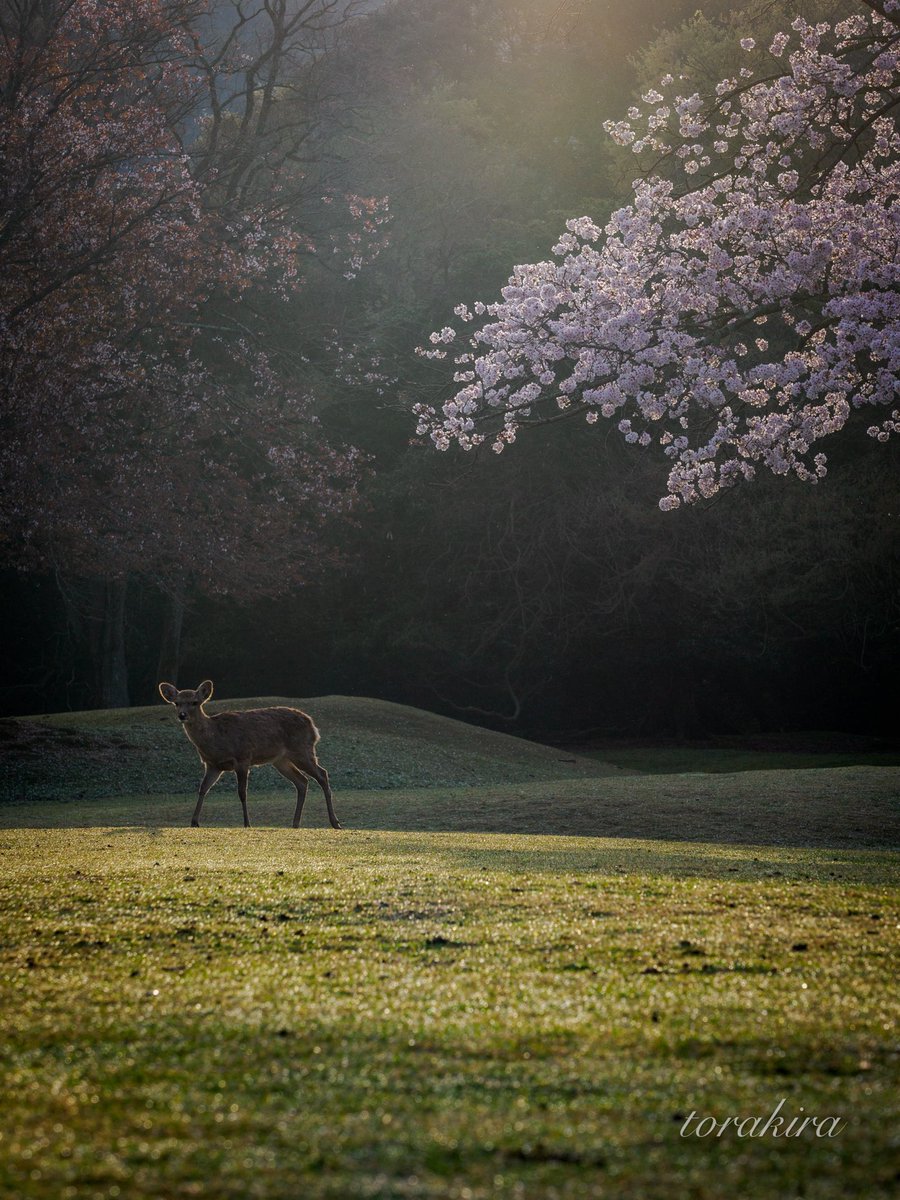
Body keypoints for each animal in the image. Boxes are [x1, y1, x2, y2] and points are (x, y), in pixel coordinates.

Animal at [157, 681, 343, 830]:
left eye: (194, 702)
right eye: (176, 703)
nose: (182, 715)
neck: (216, 739)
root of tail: (313, 726)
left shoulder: (243, 758)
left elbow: (242, 792)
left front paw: (247, 823)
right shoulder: (213, 765)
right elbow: (203, 788)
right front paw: (194, 822)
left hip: (302, 750)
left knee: (322, 774)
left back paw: (335, 822)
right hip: (281, 760)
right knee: (302, 781)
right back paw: (295, 823)